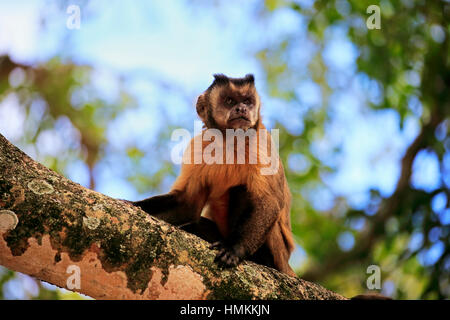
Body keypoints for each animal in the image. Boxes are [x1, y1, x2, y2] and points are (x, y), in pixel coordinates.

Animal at [129, 74, 296, 276]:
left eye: (248, 101)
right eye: (230, 100)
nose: (242, 108)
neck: (230, 141)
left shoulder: (262, 145)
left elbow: (269, 201)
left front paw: (234, 249)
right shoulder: (199, 146)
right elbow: (186, 205)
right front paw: (130, 205)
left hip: (277, 252)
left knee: (241, 190)